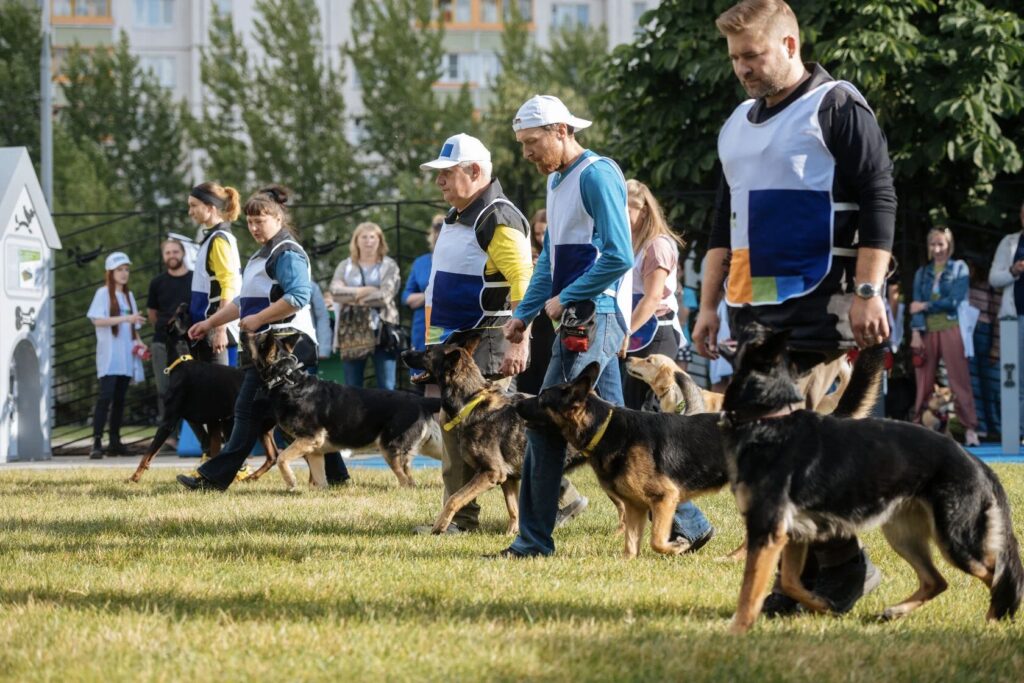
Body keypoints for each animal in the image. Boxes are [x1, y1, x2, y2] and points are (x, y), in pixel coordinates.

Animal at [128, 304, 277, 483]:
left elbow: (148, 454)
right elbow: (214, 451)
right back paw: (251, 477)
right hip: (259, 426)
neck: (181, 362)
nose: (184, 304)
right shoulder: (215, 422)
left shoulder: (168, 422)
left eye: (180, 314)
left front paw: (134, 477)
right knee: (272, 456)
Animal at [249, 332, 442, 490]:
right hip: (431, 446)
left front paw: (290, 481)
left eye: (258, 341)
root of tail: (420, 400)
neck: (286, 380)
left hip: (390, 450)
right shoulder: (315, 450)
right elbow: (319, 481)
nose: (246, 332)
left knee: (407, 481)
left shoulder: (308, 439)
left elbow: (281, 458)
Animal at [402, 338, 527, 534]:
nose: (402, 354)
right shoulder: (508, 477)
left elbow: (454, 498)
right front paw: (511, 534)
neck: (471, 400)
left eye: (428, 352)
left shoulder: (491, 473)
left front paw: (439, 526)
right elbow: (514, 509)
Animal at [516, 361, 730, 558]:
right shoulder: (635, 506)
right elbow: (631, 545)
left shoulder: (664, 498)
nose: (516, 403)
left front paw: (677, 547)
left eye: (542, 398)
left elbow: (656, 541)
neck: (604, 429)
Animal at [719, 323, 1024, 634]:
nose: (741, 321)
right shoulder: (793, 534)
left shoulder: (768, 531)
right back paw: (895, 611)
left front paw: (736, 632)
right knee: (937, 581)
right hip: (902, 535)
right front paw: (823, 604)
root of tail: (976, 462)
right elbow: (791, 582)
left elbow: (749, 591)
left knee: (1000, 575)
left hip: (957, 543)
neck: (767, 417)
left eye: (752, 333)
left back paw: (994, 620)